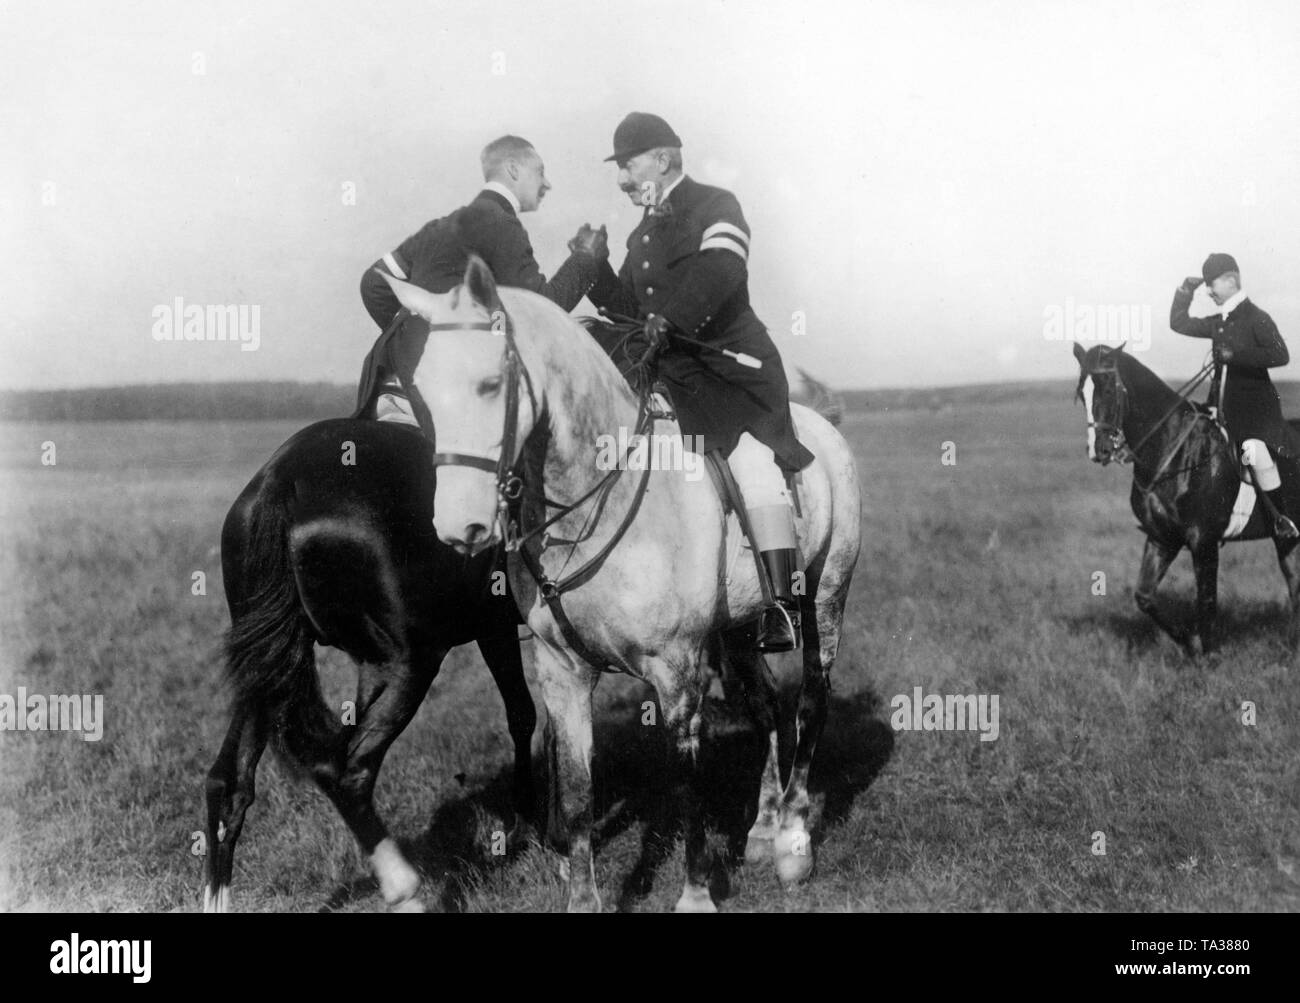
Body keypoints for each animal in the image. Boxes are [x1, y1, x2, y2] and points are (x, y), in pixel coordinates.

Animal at [201, 418, 533, 914]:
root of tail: (281, 478)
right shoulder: (497, 625)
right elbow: (524, 714)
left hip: (270, 665)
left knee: (228, 781)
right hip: (406, 664)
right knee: (346, 769)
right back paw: (404, 889)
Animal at [379, 254, 863, 914]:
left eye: (489, 384)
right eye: (422, 393)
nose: (459, 527)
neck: (598, 498)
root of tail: (821, 424)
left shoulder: (678, 674)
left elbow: (686, 786)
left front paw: (695, 896)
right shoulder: (562, 673)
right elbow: (578, 794)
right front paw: (584, 899)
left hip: (826, 598)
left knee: (811, 701)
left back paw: (793, 839)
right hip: (740, 630)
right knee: (766, 705)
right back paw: (763, 830)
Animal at [1071, 342, 1300, 657]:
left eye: (1107, 387)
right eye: (1082, 392)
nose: (1099, 450)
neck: (1175, 451)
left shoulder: (1203, 540)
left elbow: (1207, 602)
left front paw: (1209, 655)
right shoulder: (1162, 537)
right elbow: (1144, 596)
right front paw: (1189, 642)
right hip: (1287, 542)